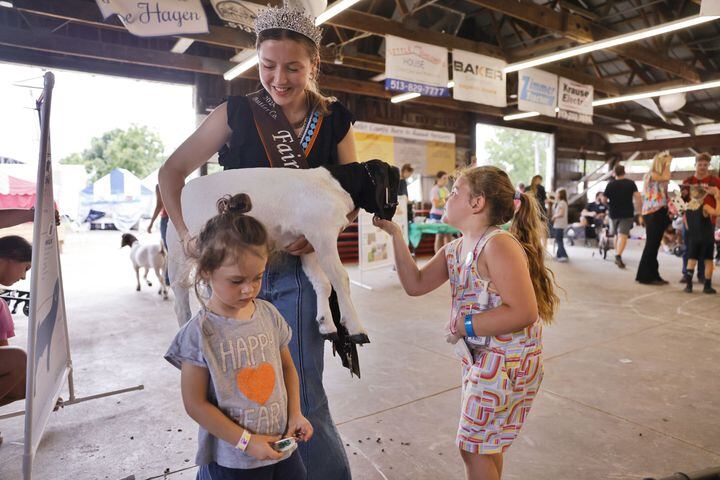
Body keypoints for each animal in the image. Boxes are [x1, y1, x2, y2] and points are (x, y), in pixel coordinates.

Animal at [168, 159, 400, 344]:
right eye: (391, 180)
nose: (391, 213)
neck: (334, 185)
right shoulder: (323, 235)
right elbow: (340, 278)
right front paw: (355, 328)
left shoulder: (308, 244)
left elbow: (322, 282)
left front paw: (326, 325)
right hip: (180, 255)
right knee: (180, 296)